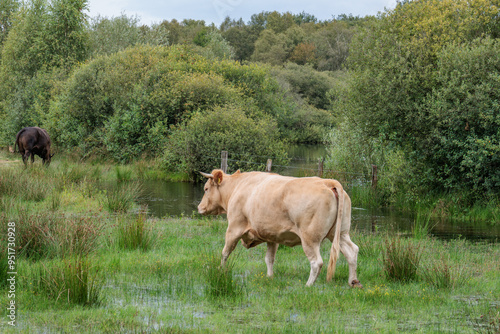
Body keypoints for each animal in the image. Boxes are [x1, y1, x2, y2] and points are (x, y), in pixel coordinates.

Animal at [197, 170, 362, 288]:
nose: (199, 207)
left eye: (206, 189)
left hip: (310, 238)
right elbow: (269, 258)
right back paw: (353, 281)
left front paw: (220, 271)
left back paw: (308, 285)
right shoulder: (272, 235)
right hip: (340, 233)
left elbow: (225, 252)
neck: (237, 187)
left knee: (317, 262)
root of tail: (328, 182)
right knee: (352, 251)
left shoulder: (234, 228)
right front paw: (270, 277)